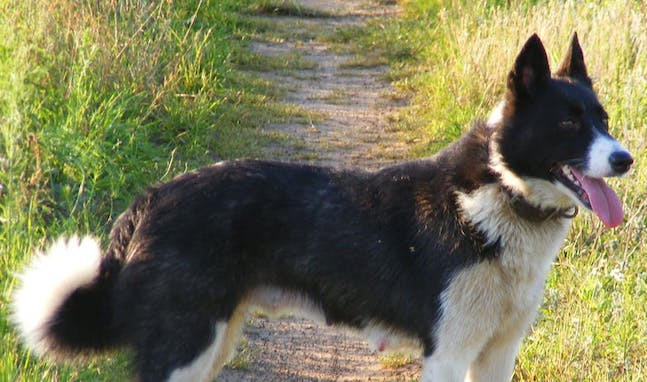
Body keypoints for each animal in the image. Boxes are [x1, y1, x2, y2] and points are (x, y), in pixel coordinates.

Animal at [12, 33, 636, 382]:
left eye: (602, 118)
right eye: (567, 124)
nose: (626, 158)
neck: (501, 194)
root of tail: (152, 197)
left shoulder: (497, 356)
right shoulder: (448, 354)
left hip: (213, 341)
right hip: (185, 348)